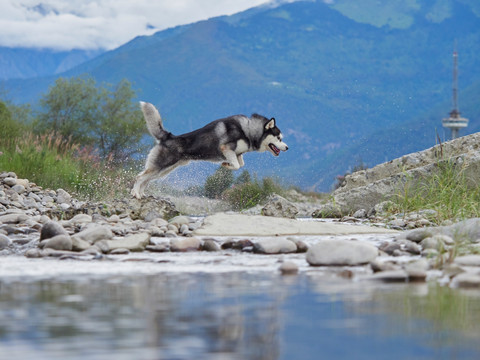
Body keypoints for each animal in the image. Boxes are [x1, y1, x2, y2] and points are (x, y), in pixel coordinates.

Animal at [130, 102, 288, 200]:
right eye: (279, 138)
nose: (287, 147)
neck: (248, 130)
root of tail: (169, 136)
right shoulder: (226, 148)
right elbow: (237, 165)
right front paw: (226, 165)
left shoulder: (237, 154)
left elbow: (240, 164)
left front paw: (227, 165)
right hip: (161, 166)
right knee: (139, 177)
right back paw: (136, 194)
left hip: (164, 170)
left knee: (145, 178)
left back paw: (141, 194)